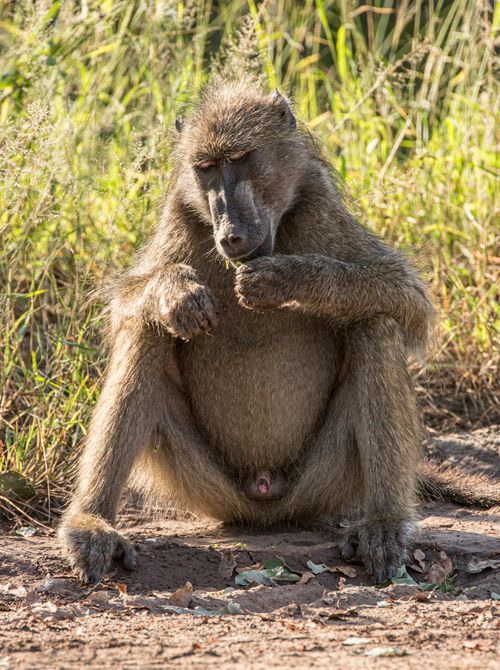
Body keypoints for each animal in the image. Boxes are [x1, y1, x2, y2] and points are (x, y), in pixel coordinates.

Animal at [58, 78, 500, 586]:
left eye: (240, 159)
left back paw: (385, 523)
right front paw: (175, 292)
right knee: (148, 331)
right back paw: (92, 523)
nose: (229, 234)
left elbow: (410, 302)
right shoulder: (180, 213)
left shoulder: (318, 205)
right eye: (206, 170)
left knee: (374, 323)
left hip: (325, 482)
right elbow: (125, 310)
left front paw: (288, 279)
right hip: (205, 487)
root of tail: (265, 499)